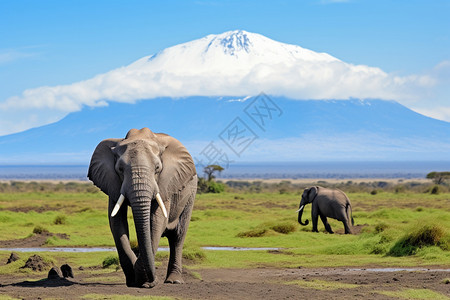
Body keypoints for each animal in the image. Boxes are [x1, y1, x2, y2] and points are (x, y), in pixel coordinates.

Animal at [88, 127, 197, 288]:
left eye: (157, 168)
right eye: (120, 169)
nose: (153, 281)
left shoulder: (166, 182)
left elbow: (157, 221)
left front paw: (145, 282)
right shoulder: (112, 183)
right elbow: (116, 222)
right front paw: (134, 281)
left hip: (190, 192)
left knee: (178, 236)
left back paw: (174, 281)